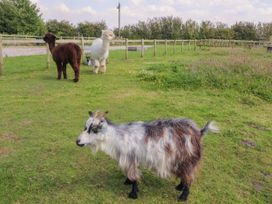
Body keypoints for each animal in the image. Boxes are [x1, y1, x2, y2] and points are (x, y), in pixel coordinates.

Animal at [76, 111, 219, 202]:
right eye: (85, 127)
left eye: (93, 129)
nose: (77, 141)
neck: (118, 137)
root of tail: (199, 132)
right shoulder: (132, 159)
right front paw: (127, 182)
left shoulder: (130, 158)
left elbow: (134, 176)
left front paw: (133, 194)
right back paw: (179, 186)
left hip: (187, 158)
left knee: (189, 177)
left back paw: (183, 197)